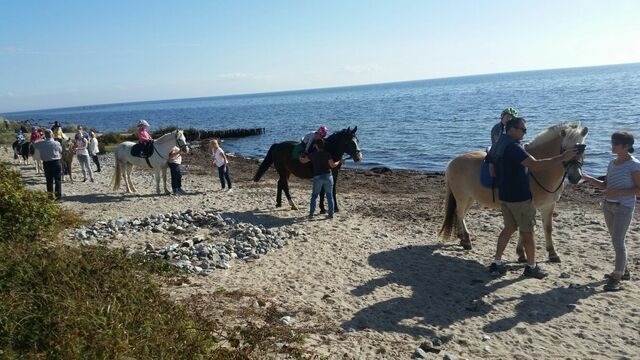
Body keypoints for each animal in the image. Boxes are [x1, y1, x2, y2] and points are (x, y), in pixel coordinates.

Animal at [438, 121, 588, 262]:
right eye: (564, 149)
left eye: (582, 149)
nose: (575, 177)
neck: (539, 171)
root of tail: (452, 162)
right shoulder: (528, 206)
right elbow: (525, 230)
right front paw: (521, 254)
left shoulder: (549, 205)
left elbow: (548, 228)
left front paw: (552, 254)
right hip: (462, 197)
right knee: (459, 214)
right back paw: (466, 241)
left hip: (470, 198)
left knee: (460, 215)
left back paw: (462, 238)